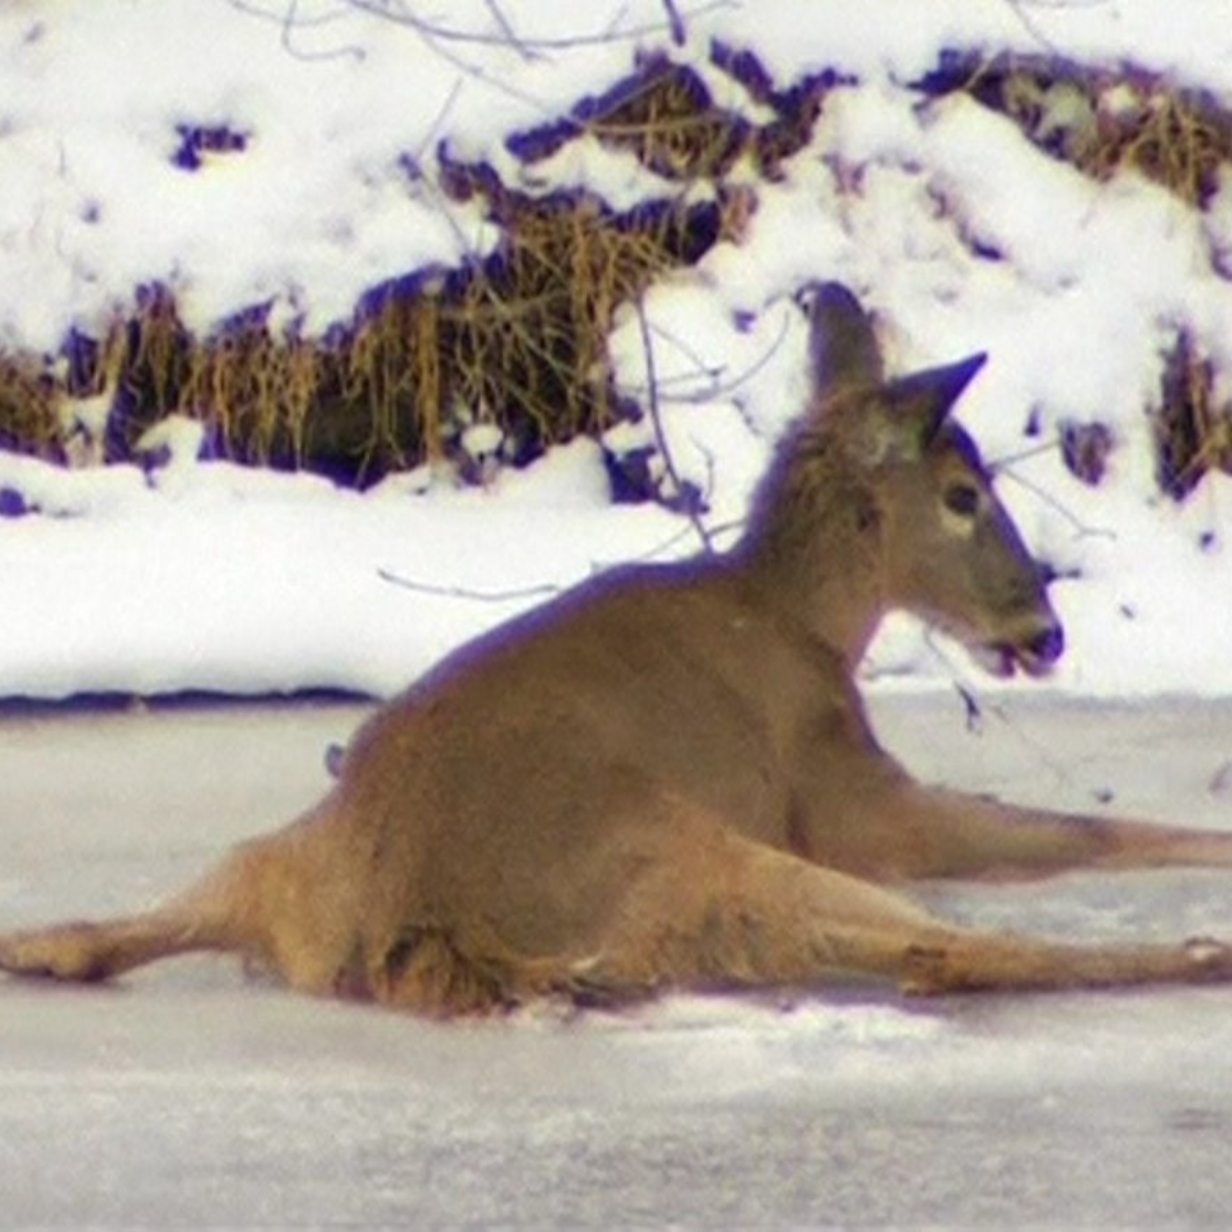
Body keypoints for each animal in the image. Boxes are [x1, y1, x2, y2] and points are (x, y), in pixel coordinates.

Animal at [6, 282, 1232, 1015]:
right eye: (964, 494)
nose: (1044, 629)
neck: (802, 622)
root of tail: (411, 924)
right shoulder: (846, 796)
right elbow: (1078, 828)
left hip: (277, 853)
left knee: (102, 928)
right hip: (702, 857)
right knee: (948, 954)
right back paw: (1193, 954)